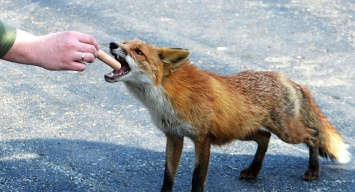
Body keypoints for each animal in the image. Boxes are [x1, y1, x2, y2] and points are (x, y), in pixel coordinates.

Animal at [104, 39, 352, 192]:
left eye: (138, 51)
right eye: (124, 43)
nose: (112, 44)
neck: (165, 98)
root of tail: (286, 78)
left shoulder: (202, 138)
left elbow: (197, 178)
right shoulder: (173, 136)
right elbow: (168, 176)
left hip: (286, 132)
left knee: (313, 134)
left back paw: (313, 170)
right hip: (242, 131)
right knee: (265, 138)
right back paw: (254, 170)